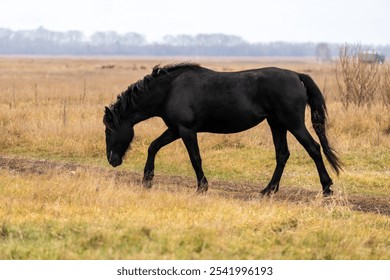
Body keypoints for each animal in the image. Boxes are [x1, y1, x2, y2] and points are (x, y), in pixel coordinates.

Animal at [103, 62, 342, 196]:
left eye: (108, 130)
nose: (112, 160)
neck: (170, 89)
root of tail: (296, 76)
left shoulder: (186, 130)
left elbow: (195, 158)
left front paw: (202, 187)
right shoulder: (175, 129)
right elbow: (153, 147)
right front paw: (147, 180)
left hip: (293, 124)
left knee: (314, 149)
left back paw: (327, 188)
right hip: (277, 125)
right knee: (282, 154)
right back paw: (268, 190)